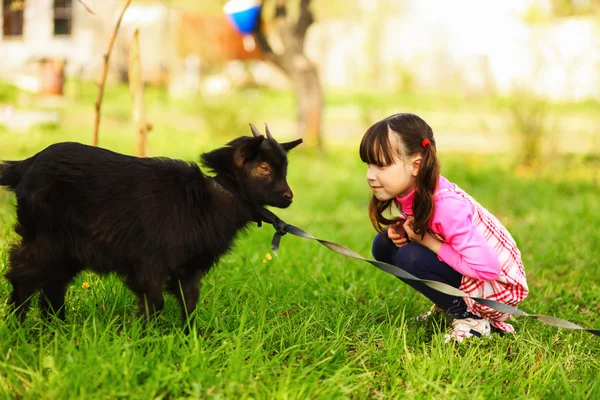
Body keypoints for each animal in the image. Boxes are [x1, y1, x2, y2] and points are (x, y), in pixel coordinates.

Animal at [0, 125, 300, 324]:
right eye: (263, 168)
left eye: (285, 169)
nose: (289, 197)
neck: (206, 201)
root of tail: (24, 166)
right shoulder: (149, 261)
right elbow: (154, 301)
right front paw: (145, 339)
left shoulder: (188, 268)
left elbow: (190, 302)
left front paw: (192, 339)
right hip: (44, 236)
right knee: (24, 274)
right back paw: (18, 324)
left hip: (67, 248)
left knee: (53, 282)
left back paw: (58, 325)